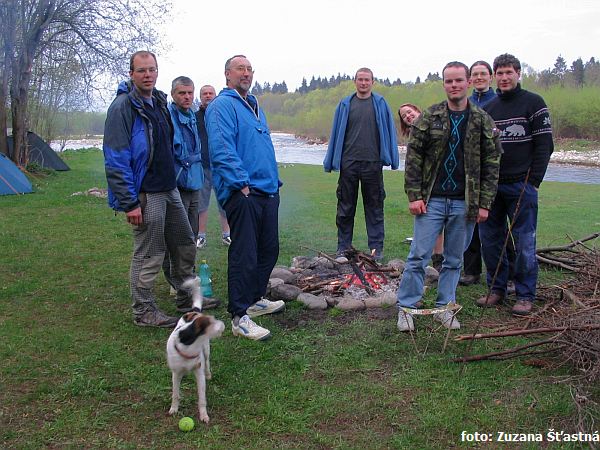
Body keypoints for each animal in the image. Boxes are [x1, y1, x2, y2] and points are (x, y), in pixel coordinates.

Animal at [166, 277, 224, 423]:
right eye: (211, 323)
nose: (224, 325)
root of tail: (195, 311)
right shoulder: (176, 373)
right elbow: (175, 394)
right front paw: (174, 408)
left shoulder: (199, 372)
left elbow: (202, 398)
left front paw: (203, 415)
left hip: (207, 350)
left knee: (207, 362)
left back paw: (208, 374)